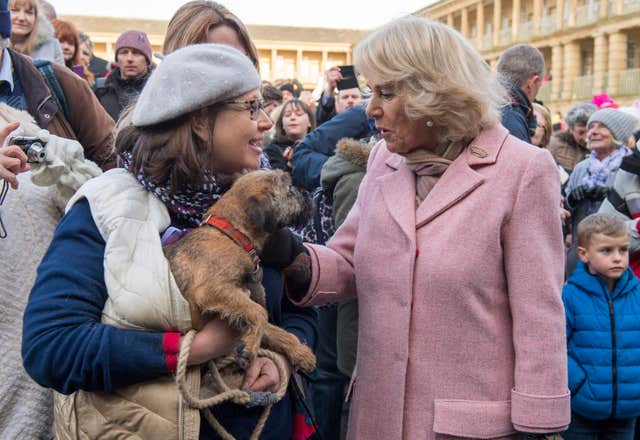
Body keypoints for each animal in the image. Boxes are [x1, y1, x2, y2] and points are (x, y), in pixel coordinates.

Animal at [164, 170, 316, 376]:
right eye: (290, 190)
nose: (308, 193)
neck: (232, 235)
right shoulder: (210, 290)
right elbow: (259, 312)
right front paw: (250, 348)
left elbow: (271, 328)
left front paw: (300, 352)